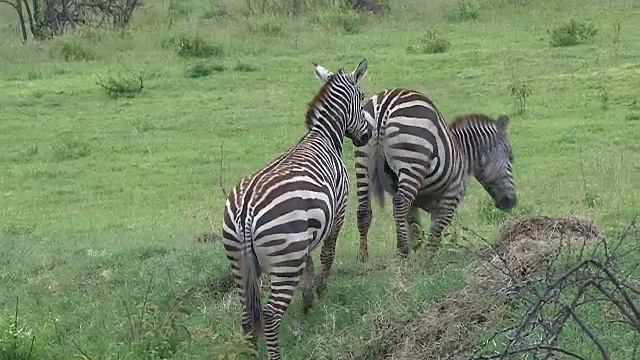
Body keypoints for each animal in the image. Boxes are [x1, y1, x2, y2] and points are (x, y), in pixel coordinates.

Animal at [221, 59, 372, 358]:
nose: (367, 135)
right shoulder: (339, 210)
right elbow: (327, 254)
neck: (323, 136)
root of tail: (245, 211)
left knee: (247, 317)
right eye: (361, 98)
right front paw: (321, 293)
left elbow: (309, 262)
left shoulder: (307, 230)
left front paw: (308, 300)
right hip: (284, 260)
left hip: (240, 264)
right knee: (269, 315)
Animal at [352, 87, 516, 262]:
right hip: (413, 160)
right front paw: (427, 257)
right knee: (400, 203)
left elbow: (414, 226)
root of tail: (384, 106)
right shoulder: (452, 195)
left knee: (364, 210)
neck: (462, 152)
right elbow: (437, 228)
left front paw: (415, 253)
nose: (511, 203)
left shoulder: (415, 200)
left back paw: (363, 256)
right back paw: (402, 251)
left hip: (363, 157)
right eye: (511, 158)